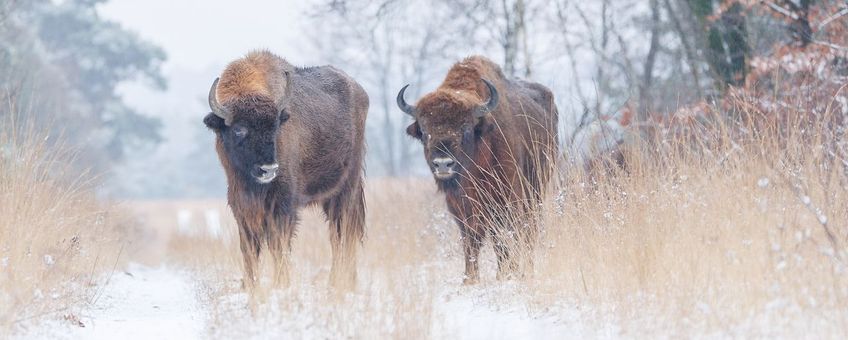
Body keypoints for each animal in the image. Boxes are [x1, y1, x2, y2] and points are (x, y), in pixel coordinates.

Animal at [205, 49, 368, 290]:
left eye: (275, 127)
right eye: (238, 130)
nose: (268, 169)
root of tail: (359, 90)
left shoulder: (283, 206)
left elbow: (278, 246)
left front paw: (281, 285)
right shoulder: (241, 206)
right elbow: (249, 249)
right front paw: (250, 286)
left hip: (347, 189)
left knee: (342, 234)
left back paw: (339, 283)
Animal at [400, 55, 560, 284]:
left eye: (465, 128)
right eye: (424, 130)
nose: (443, 164)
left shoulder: (507, 198)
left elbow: (503, 236)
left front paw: (506, 274)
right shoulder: (459, 206)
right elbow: (471, 240)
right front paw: (470, 278)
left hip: (536, 190)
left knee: (529, 229)